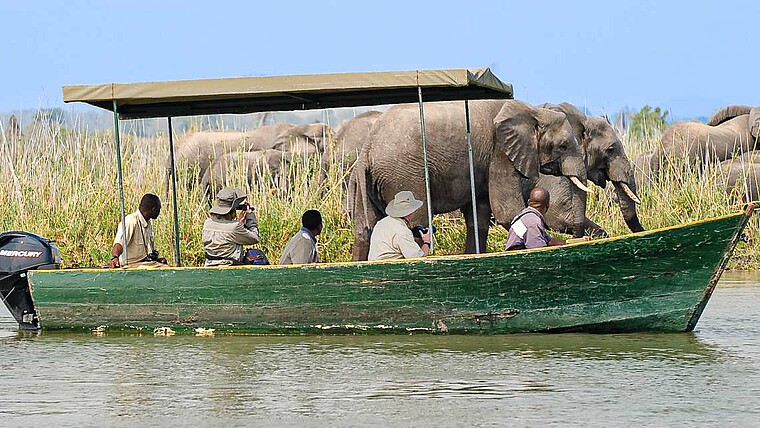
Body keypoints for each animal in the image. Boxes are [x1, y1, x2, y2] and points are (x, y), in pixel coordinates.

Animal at [348, 99, 588, 260]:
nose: (579, 238)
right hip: (404, 174)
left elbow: (478, 216)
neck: (534, 111)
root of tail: (367, 148)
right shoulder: (500, 152)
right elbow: (507, 211)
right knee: (416, 220)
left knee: (364, 229)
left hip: (367, 182)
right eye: (563, 145)